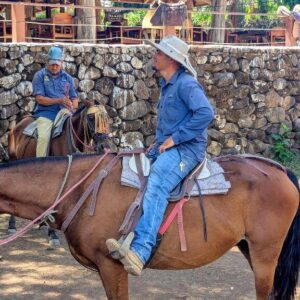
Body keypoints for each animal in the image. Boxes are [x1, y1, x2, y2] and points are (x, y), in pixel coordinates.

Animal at [6, 103, 109, 244]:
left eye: (106, 118)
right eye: (91, 117)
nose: (104, 145)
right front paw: (53, 234)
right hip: (13, 160)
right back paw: (12, 225)